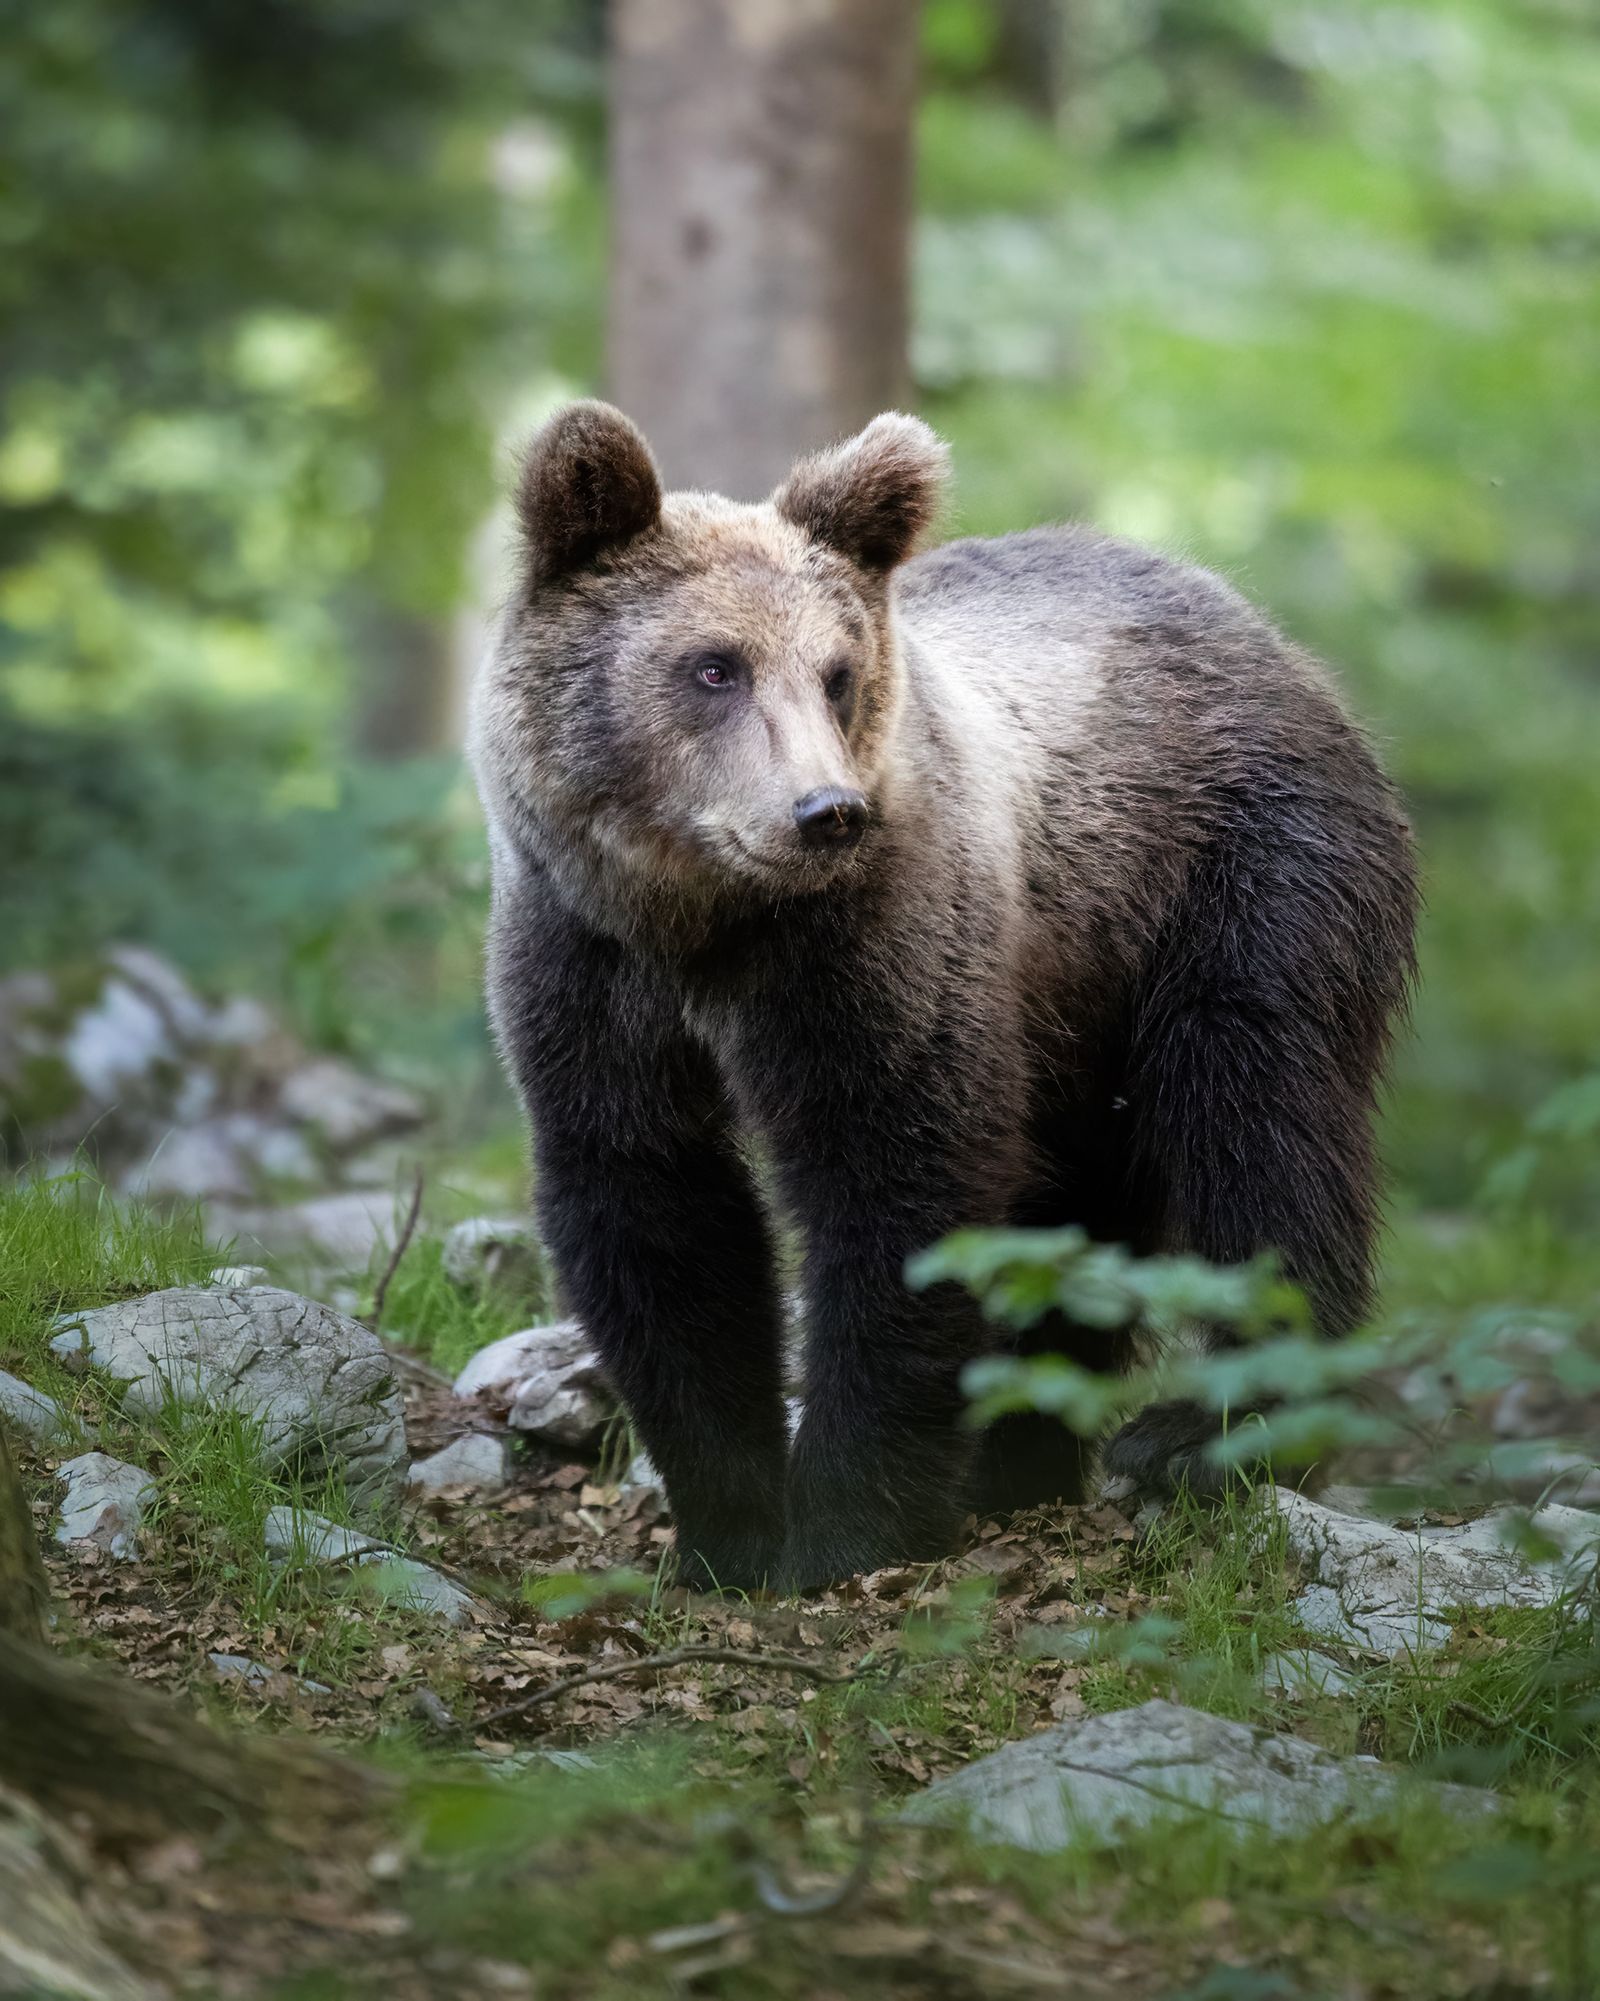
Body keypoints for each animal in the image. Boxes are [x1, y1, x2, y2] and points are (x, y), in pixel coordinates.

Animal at [470, 400, 1419, 1592]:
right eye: (714, 666)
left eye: (835, 672)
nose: (824, 811)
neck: (702, 923)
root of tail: (1254, 623)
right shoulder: (586, 967)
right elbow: (652, 1210)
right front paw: (727, 1530)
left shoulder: (868, 948)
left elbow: (900, 1178)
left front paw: (844, 1523)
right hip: (1077, 986)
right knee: (1087, 1199)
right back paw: (1022, 1458)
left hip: (1239, 878)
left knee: (1259, 1116)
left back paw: (1200, 1438)